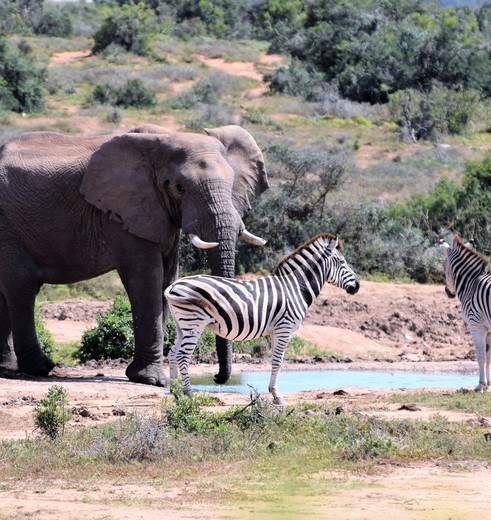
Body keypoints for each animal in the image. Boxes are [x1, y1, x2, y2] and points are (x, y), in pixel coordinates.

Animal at [0, 125, 270, 386]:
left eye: (232, 183)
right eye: (179, 188)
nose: (217, 378)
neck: (165, 138)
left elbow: (167, 278)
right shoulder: (123, 212)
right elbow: (147, 278)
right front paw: (152, 380)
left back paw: (7, 368)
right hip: (9, 227)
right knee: (21, 286)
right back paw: (40, 367)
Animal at [165, 234, 362, 404]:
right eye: (342, 262)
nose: (358, 285)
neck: (295, 287)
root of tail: (173, 285)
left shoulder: (276, 330)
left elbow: (276, 361)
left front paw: (274, 393)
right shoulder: (285, 328)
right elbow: (278, 361)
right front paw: (277, 396)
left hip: (181, 325)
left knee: (173, 353)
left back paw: (176, 394)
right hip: (194, 322)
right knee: (182, 356)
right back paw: (189, 395)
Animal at [442, 235, 491, 390]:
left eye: (443, 265)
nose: (448, 293)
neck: (471, 283)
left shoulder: (476, 325)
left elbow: (481, 357)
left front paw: (480, 386)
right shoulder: (488, 330)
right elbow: (488, 358)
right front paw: (488, 385)